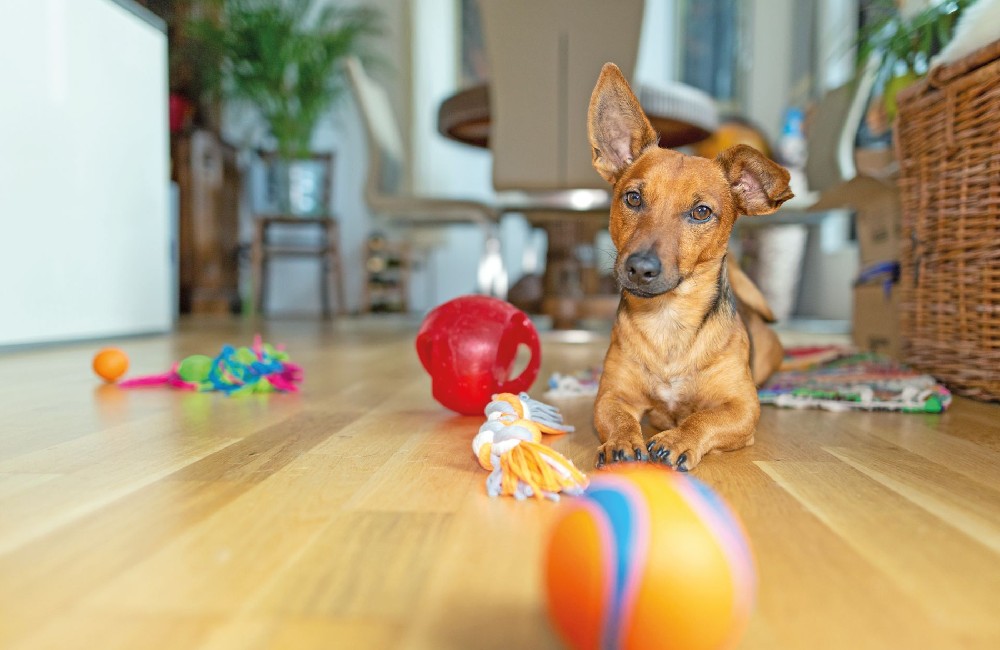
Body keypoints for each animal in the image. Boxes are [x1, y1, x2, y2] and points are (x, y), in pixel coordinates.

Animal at [588, 64, 792, 470]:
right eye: (632, 198)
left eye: (701, 212)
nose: (640, 268)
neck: (669, 322)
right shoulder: (611, 395)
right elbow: (619, 418)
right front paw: (622, 441)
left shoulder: (743, 408)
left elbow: (703, 418)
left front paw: (679, 439)